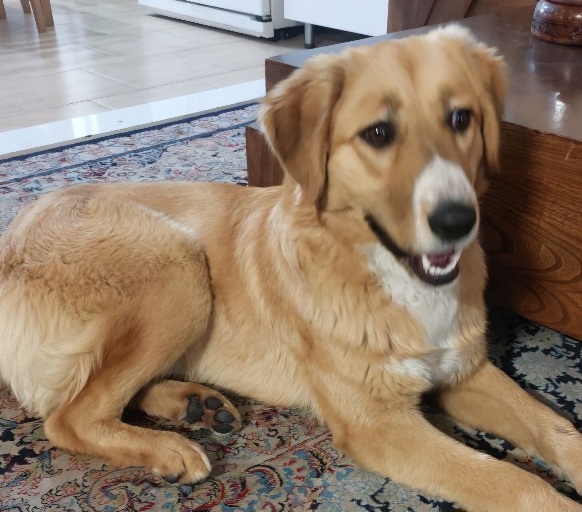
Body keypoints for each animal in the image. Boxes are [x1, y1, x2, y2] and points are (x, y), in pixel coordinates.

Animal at [0, 26, 581, 512]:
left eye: (461, 119)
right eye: (378, 134)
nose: (459, 220)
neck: (390, 277)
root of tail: (13, 236)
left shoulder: (467, 374)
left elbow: (556, 429)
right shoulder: (379, 425)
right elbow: (512, 480)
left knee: (100, 394)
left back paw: (195, 405)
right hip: (180, 268)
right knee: (70, 415)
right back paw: (169, 447)